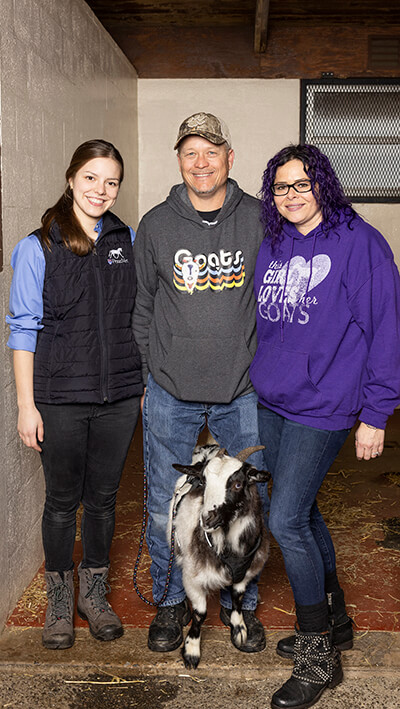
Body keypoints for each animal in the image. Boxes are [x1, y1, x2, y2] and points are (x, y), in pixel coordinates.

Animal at [169, 446, 268, 668]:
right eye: (204, 482)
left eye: (238, 484)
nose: (207, 518)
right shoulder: (192, 578)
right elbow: (200, 614)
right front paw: (191, 651)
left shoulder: (245, 572)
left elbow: (237, 597)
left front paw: (239, 628)